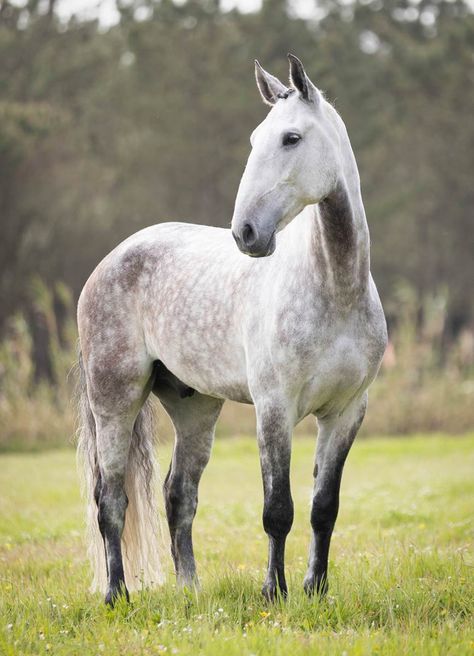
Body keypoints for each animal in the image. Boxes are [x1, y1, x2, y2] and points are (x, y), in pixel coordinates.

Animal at [78, 53, 386, 608]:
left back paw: (190, 591)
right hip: (114, 399)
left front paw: (316, 589)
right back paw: (116, 594)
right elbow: (278, 509)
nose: (246, 233)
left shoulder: (347, 412)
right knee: (110, 498)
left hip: (196, 407)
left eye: (290, 138)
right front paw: (274, 592)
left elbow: (323, 507)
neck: (334, 288)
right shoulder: (274, 409)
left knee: (178, 495)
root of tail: (111, 261)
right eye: (254, 139)